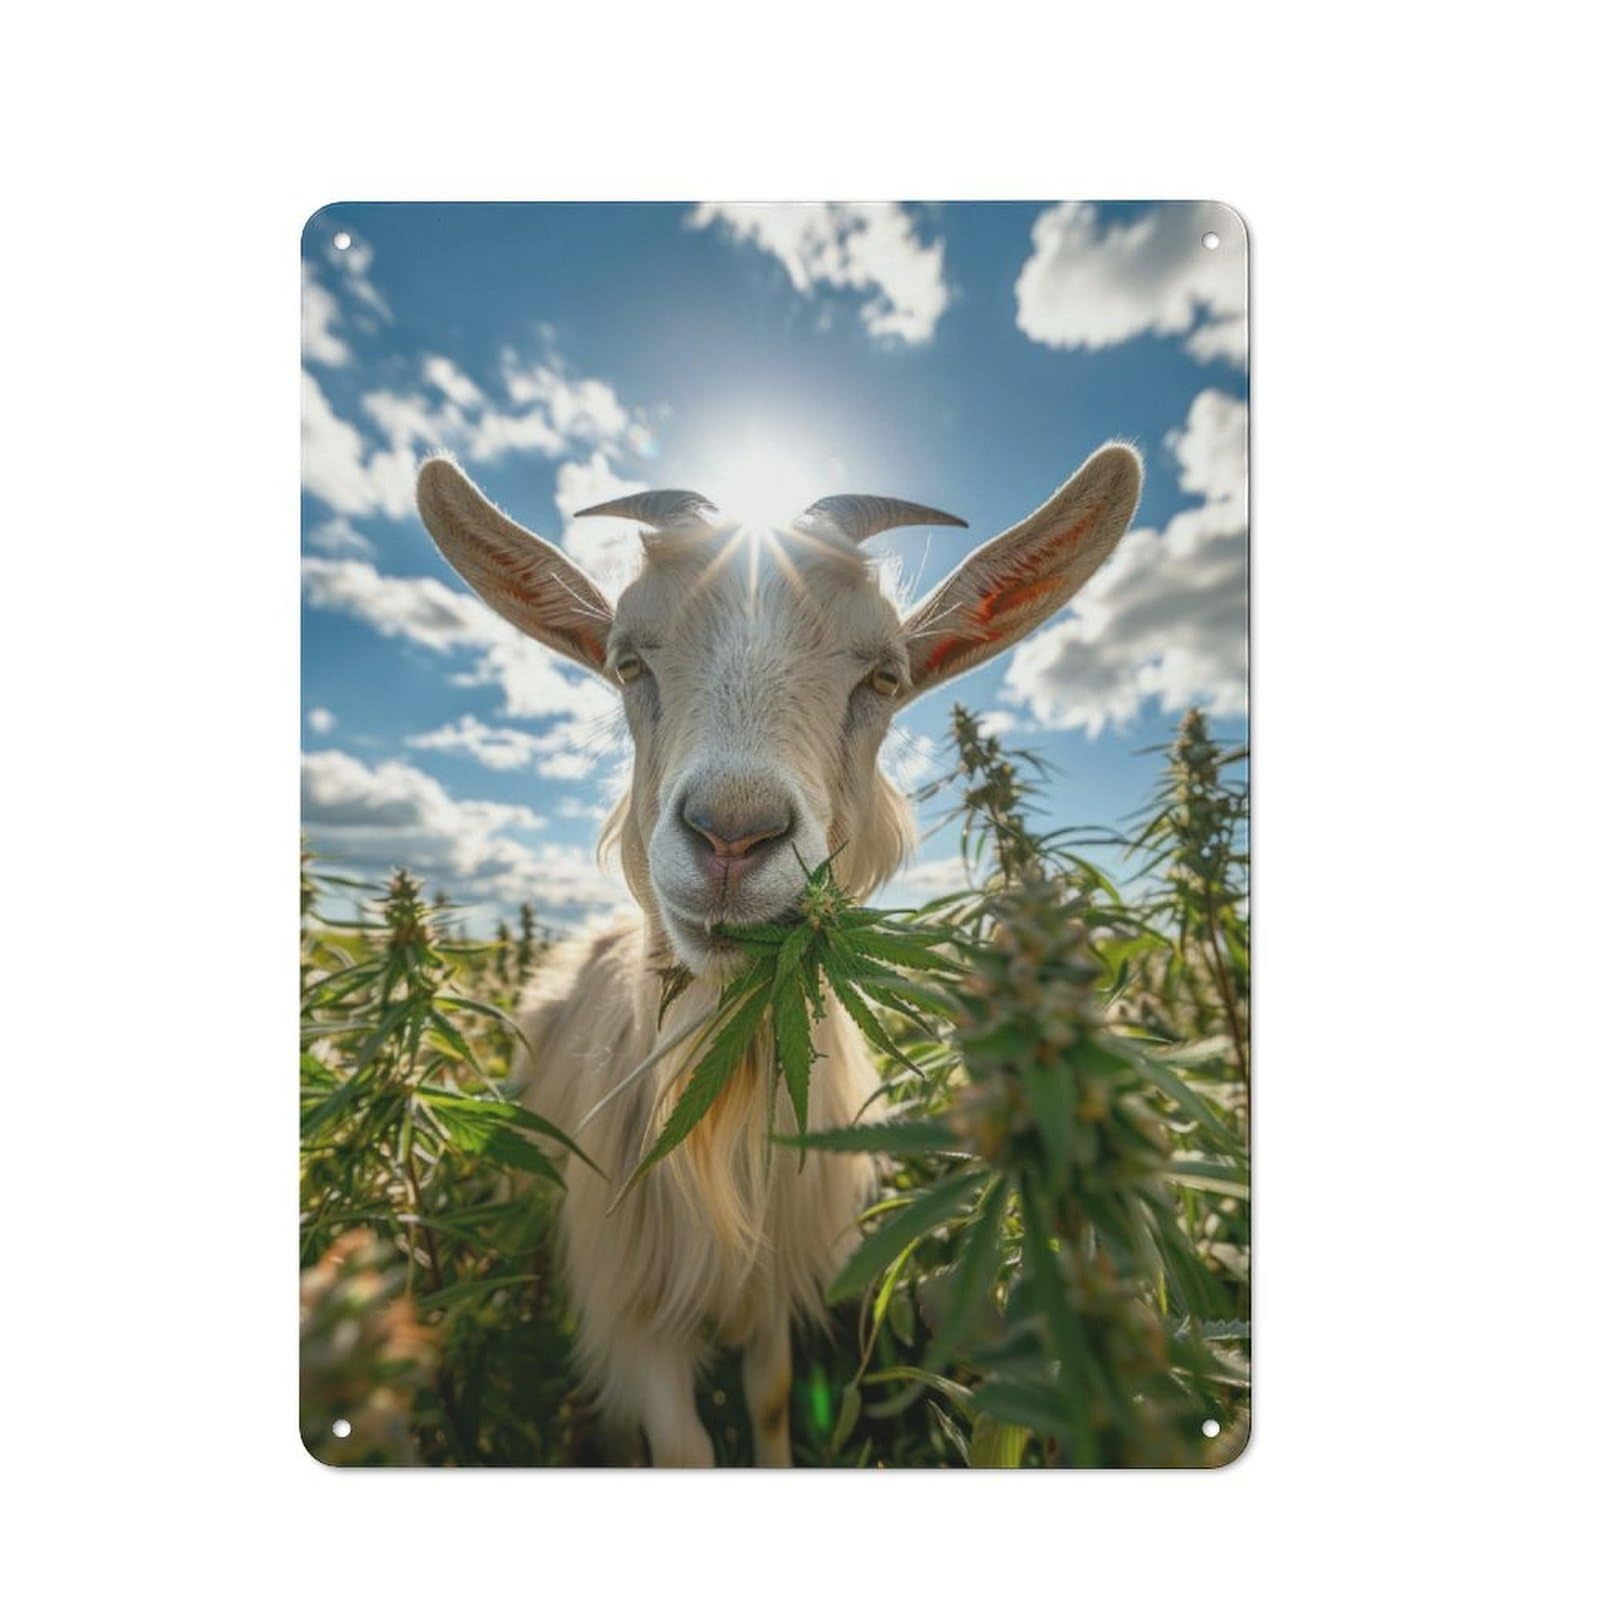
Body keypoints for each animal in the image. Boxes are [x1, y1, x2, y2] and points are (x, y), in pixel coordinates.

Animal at [415, 441, 1141, 1465]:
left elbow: (766, 1402)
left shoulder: (771, 1292)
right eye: (626, 660)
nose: (732, 835)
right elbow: (686, 1449)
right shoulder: (636, 1316)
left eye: (884, 677)